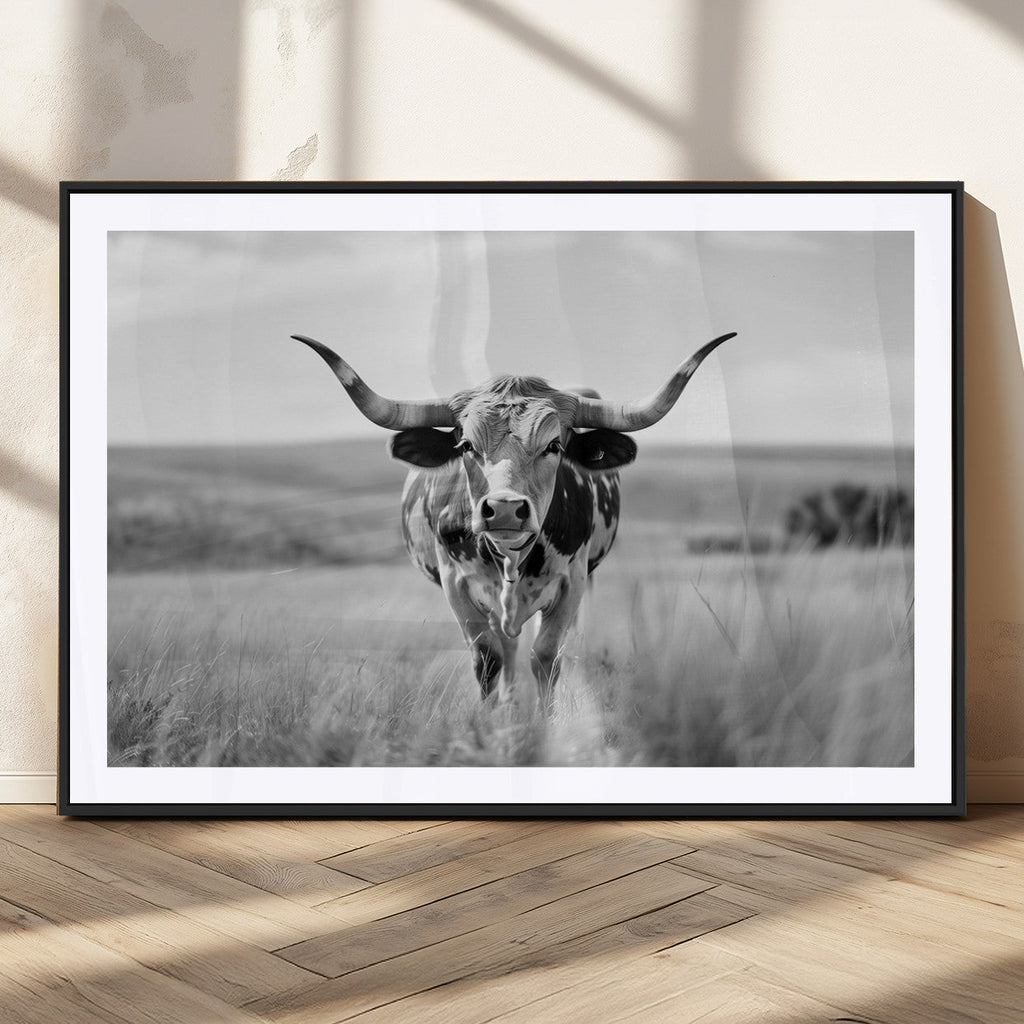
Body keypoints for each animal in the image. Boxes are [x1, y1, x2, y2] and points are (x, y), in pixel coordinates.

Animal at [293, 331, 735, 705]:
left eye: (554, 445)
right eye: (465, 445)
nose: (504, 507)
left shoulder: (571, 582)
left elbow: (547, 657)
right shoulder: (456, 585)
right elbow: (489, 659)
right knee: (505, 650)